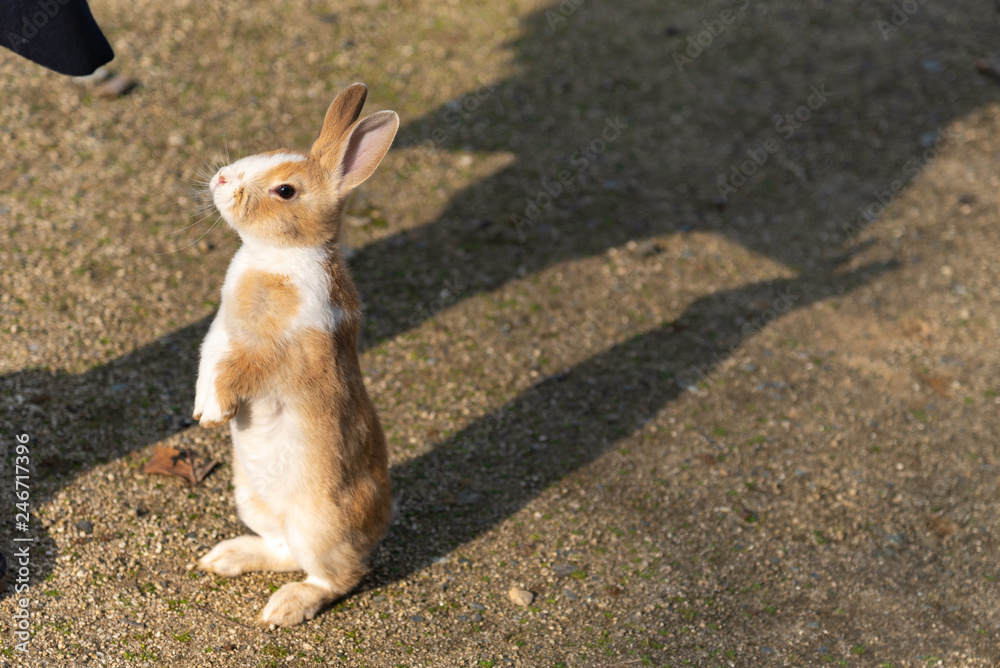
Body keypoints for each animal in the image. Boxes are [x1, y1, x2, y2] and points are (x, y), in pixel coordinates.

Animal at [192, 83, 398, 627]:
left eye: (285, 190)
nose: (223, 177)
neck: (280, 253)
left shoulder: (278, 350)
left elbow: (237, 372)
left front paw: (213, 415)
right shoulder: (219, 333)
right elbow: (207, 358)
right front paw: (200, 410)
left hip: (319, 526)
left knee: (336, 577)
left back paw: (283, 609)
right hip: (254, 501)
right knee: (283, 550)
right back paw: (226, 557)